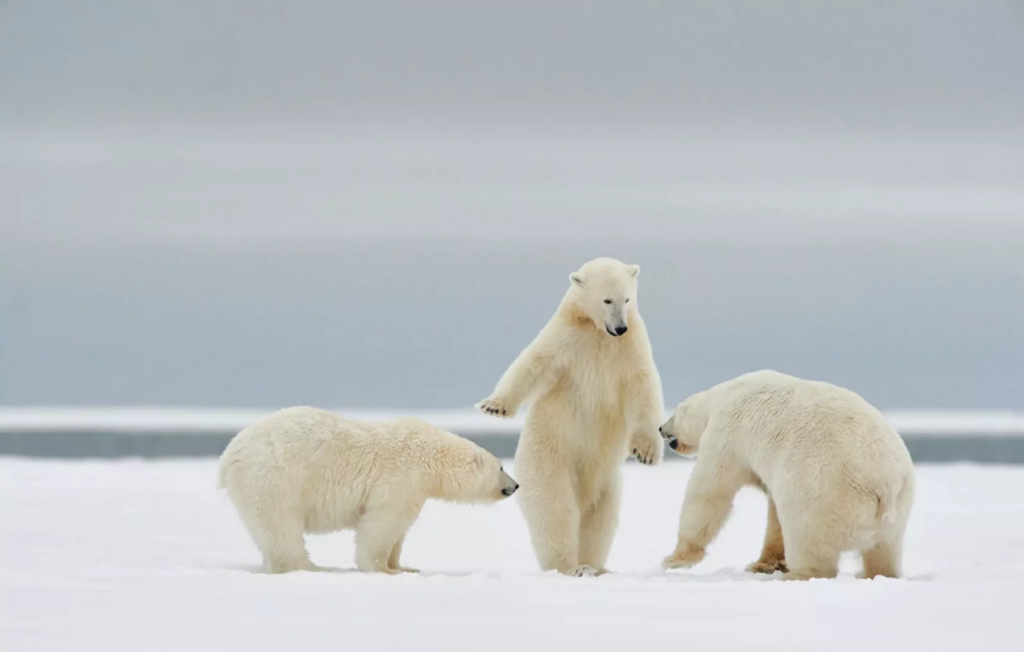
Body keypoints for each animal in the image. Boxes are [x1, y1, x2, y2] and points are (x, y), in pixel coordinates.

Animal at [219, 409, 516, 573]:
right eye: (501, 467)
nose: (514, 486)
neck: (431, 455)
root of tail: (228, 455)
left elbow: (399, 532)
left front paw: (404, 566)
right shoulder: (402, 476)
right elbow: (383, 523)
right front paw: (384, 569)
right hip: (274, 478)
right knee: (282, 527)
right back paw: (312, 567)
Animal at [473, 256, 663, 577]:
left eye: (627, 298)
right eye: (607, 299)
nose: (620, 327)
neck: (598, 333)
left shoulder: (630, 348)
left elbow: (643, 388)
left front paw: (646, 452)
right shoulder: (567, 340)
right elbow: (533, 363)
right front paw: (494, 406)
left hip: (608, 483)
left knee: (600, 520)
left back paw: (595, 566)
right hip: (550, 461)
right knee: (555, 510)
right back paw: (570, 566)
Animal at [659, 370, 917, 581]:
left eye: (674, 415)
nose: (661, 428)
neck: (726, 394)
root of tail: (883, 485)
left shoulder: (726, 433)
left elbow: (709, 492)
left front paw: (674, 559)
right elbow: (774, 514)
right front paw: (763, 564)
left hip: (823, 491)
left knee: (806, 537)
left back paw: (798, 574)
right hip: (898, 509)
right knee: (884, 551)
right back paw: (877, 573)